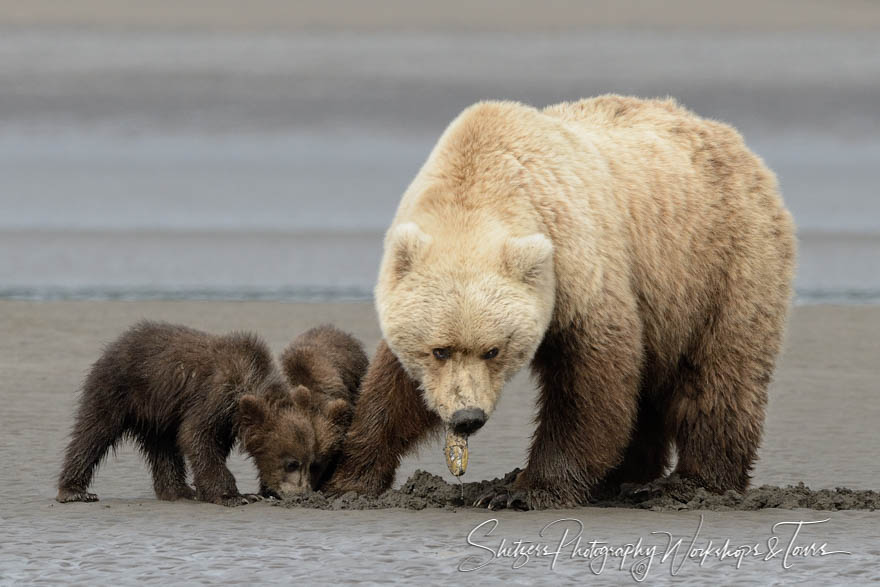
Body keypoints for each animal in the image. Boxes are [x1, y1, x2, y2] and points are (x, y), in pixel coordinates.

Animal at [324, 96, 796, 510]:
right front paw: (349, 478)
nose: (467, 417)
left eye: (493, 350)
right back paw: (624, 476)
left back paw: (689, 484)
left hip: (723, 262)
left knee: (718, 377)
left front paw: (523, 491)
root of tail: (739, 145)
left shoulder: (578, 263)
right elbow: (393, 389)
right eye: (439, 349)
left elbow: (590, 380)